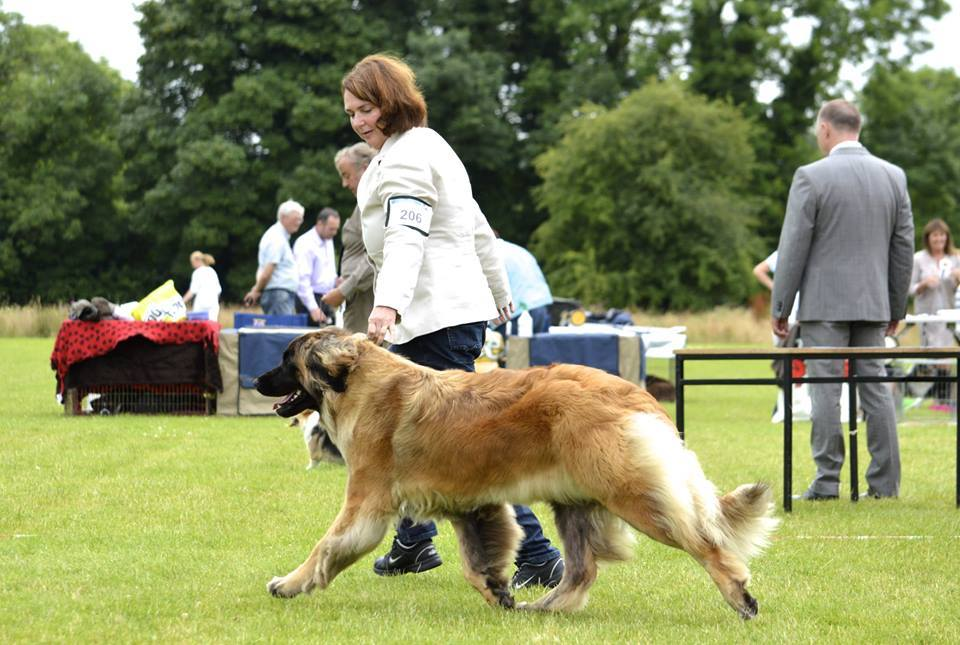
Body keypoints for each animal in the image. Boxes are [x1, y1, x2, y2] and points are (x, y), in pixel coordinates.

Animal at [256, 330, 780, 616]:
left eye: (286, 360)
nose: (256, 380)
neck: (358, 381)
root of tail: (634, 392)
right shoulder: (471, 505)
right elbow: (478, 562)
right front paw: (500, 595)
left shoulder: (366, 501)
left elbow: (327, 547)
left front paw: (290, 583)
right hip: (575, 503)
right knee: (582, 570)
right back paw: (544, 608)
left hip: (634, 494)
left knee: (705, 543)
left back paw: (740, 596)